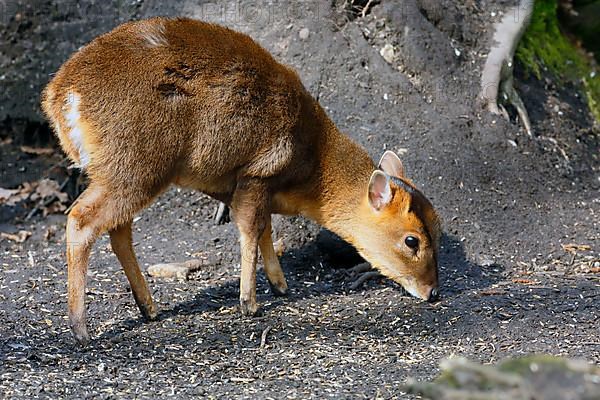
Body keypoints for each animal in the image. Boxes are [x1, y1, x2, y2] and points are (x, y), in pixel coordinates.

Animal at [39, 17, 438, 346]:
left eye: (438, 223)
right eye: (412, 240)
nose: (433, 291)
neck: (309, 166)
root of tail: (59, 97)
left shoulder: (248, 185)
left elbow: (265, 230)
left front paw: (280, 284)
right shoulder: (257, 172)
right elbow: (251, 228)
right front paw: (250, 302)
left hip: (122, 174)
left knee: (118, 231)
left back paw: (148, 307)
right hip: (136, 168)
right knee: (81, 220)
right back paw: (80, 328)